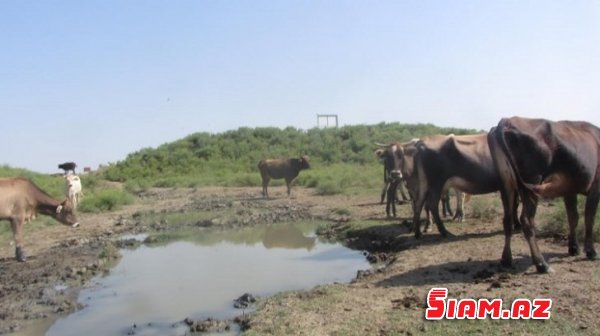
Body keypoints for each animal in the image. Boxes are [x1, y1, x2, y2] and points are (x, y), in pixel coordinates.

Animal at [488, 117, 600, 274]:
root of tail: (506, 121)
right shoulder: (596, 186)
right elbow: (590, 219)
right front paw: (591, 252)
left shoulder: (569, 190)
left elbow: (573, 217)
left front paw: (573, 248)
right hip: (531, 183)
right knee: (527, 221)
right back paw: (541, 264)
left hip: (506, 185)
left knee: (507, 220)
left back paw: (506, 260)